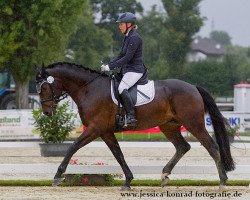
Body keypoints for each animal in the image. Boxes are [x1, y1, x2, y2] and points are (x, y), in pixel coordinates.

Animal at [35, 62, 234, 189]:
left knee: (212, 146)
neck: (89, 88)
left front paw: (57, 176)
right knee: (182, 147)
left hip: (193, 123)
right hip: (169, 126)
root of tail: (193, 87)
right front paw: (128, 181)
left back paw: (223, 181)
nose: (47, 112)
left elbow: (73, 147)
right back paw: (164, 176)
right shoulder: (105, 132)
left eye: (44, 88)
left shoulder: (95, 128)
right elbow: (119, 155)